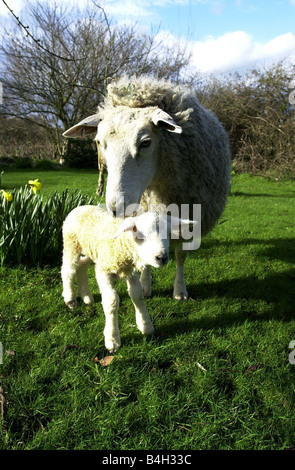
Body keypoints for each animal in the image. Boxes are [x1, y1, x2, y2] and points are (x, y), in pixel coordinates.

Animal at [61, 206, 184, 352]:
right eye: (141, 235)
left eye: (169, 233)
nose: (162, 258)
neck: (123, 245)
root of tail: (80, 207)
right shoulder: (104, 270)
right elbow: (111, 301)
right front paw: (112, 339)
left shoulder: (130, 271)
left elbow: (137, 295)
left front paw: (145, 326)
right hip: (71, 245)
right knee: (68, 270)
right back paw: (70, 299)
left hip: (91, 250)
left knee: (82, 266)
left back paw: (86, 296)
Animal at [63, 73, 232, 302]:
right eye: (99, 142)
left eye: (145, 142)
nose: (116, 208)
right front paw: (144, 285)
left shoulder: (188, 214)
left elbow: (181, 255)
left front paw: (180, 290)